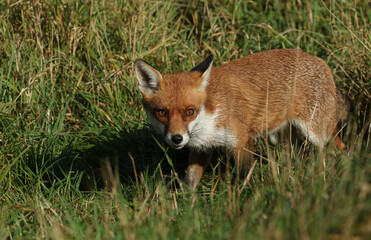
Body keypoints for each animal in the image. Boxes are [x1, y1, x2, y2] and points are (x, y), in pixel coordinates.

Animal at [135, 49, 350, 189]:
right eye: (162, 112)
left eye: (190, 111)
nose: (176, 138)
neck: (209, 116)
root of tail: (322, 63)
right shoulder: (201, 148)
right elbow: (190, 181)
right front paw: (188, 208)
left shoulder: (241, 140)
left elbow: (244, 178)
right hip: (284, 138)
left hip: (318, 134)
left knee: (341, 149)